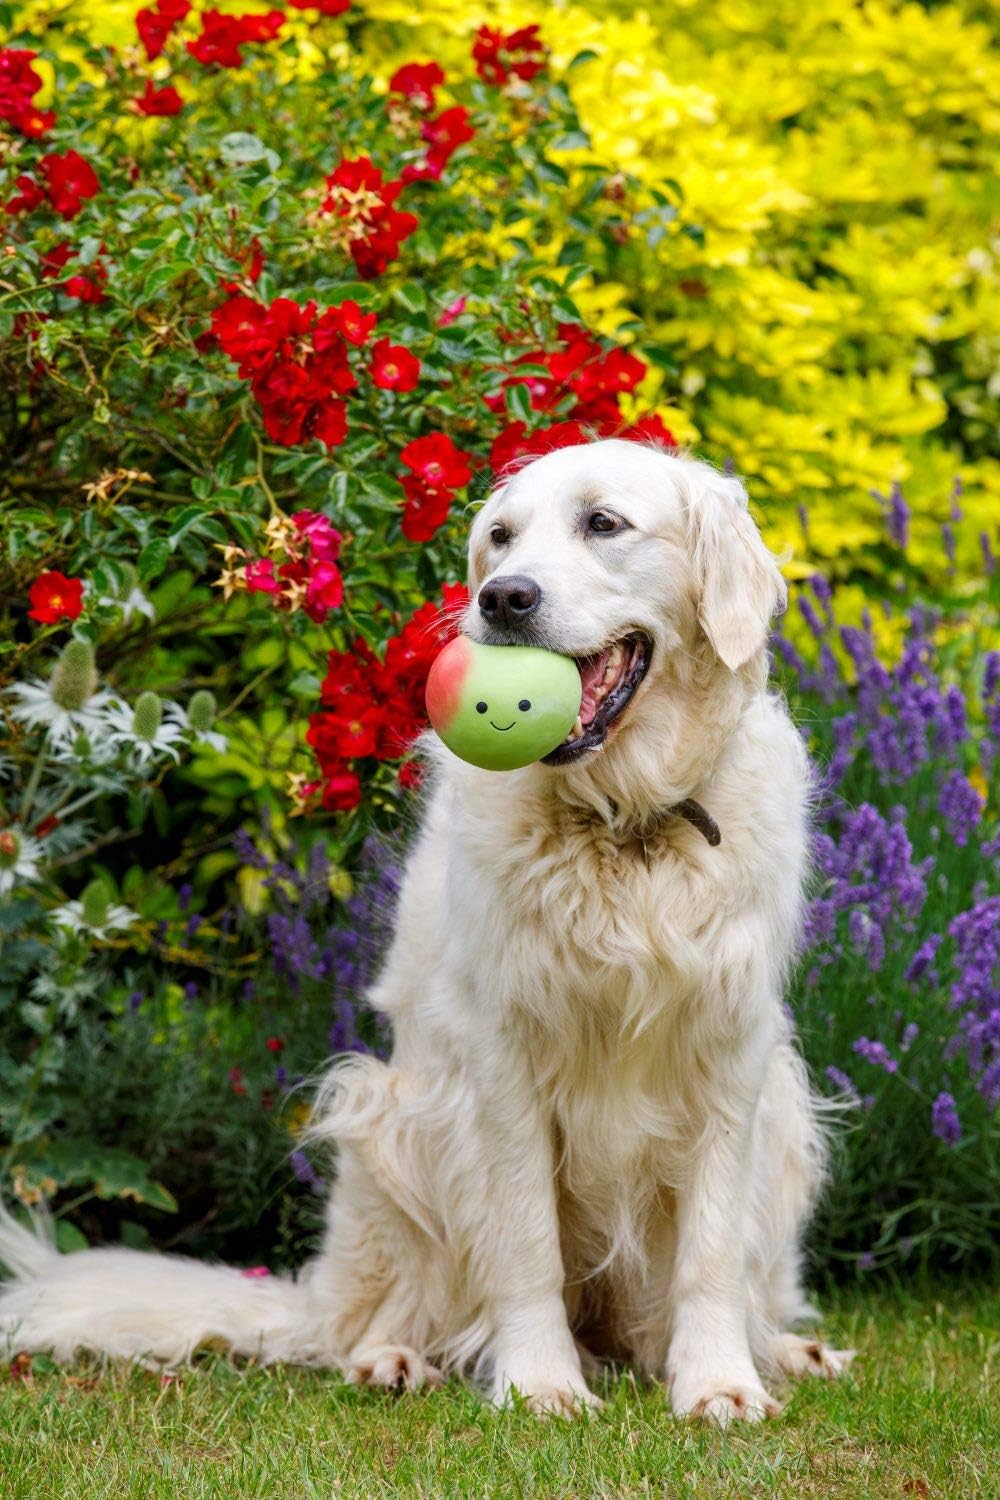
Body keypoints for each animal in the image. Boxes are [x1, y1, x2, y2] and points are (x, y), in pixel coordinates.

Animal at [3, 441, 857, 1416]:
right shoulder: (504, 1058)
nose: (504, 599)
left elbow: (711, 1252)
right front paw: (541, 1383)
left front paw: (718, 1383)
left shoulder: (729, 1049)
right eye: (501, 537)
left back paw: (780, 1349)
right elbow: (525, 1245)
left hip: (785, 1119)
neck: (624, 826)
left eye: (604, 522)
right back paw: (394, 1358)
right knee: (373, 1320)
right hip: (386, 1123)